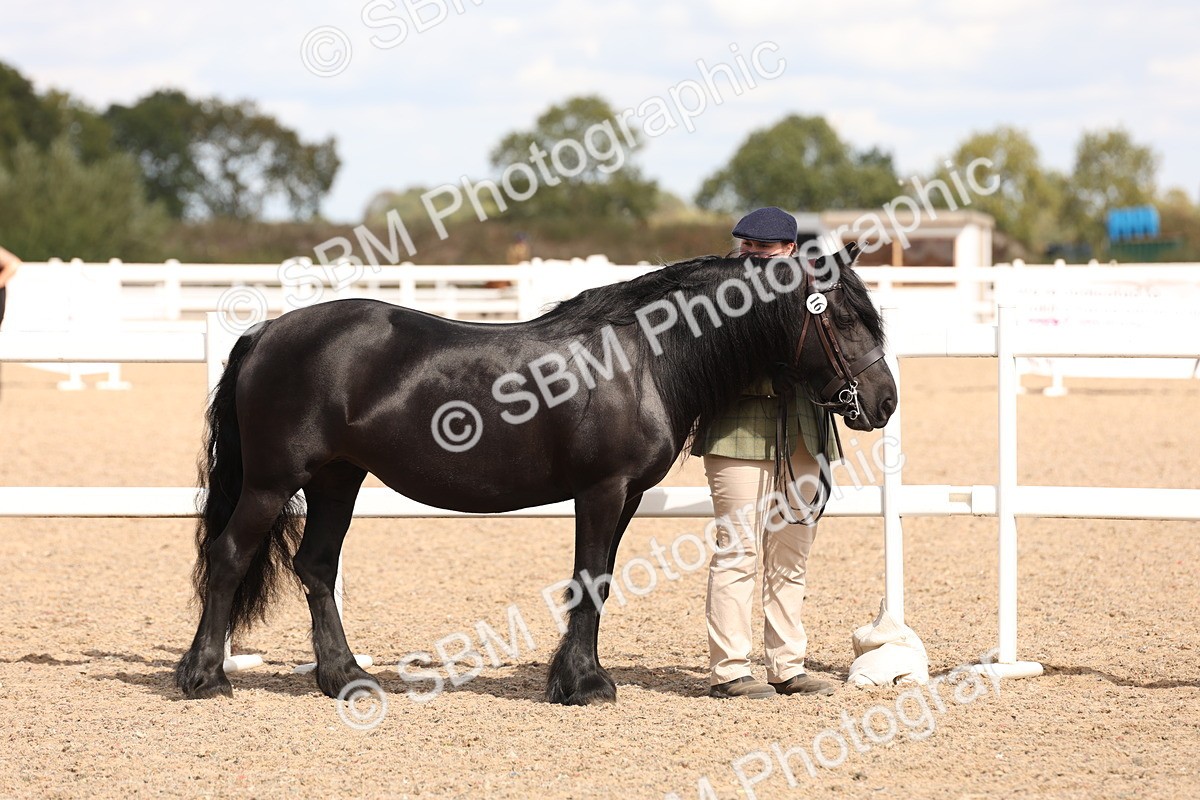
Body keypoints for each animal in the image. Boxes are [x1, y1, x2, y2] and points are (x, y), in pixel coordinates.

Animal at [175, 247, 897, 706]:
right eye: (842, 316)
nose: (884, 401)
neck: (643, 358)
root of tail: (267, 332)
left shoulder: (625, 496)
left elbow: (598, 580)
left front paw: (577, 678)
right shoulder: (602, 490)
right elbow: (591, 578)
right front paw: (585, 685)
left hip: (336, 479)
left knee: (317, 567)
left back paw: (345, 678)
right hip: (272, 483)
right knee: (230, 555)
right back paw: (206, 677)